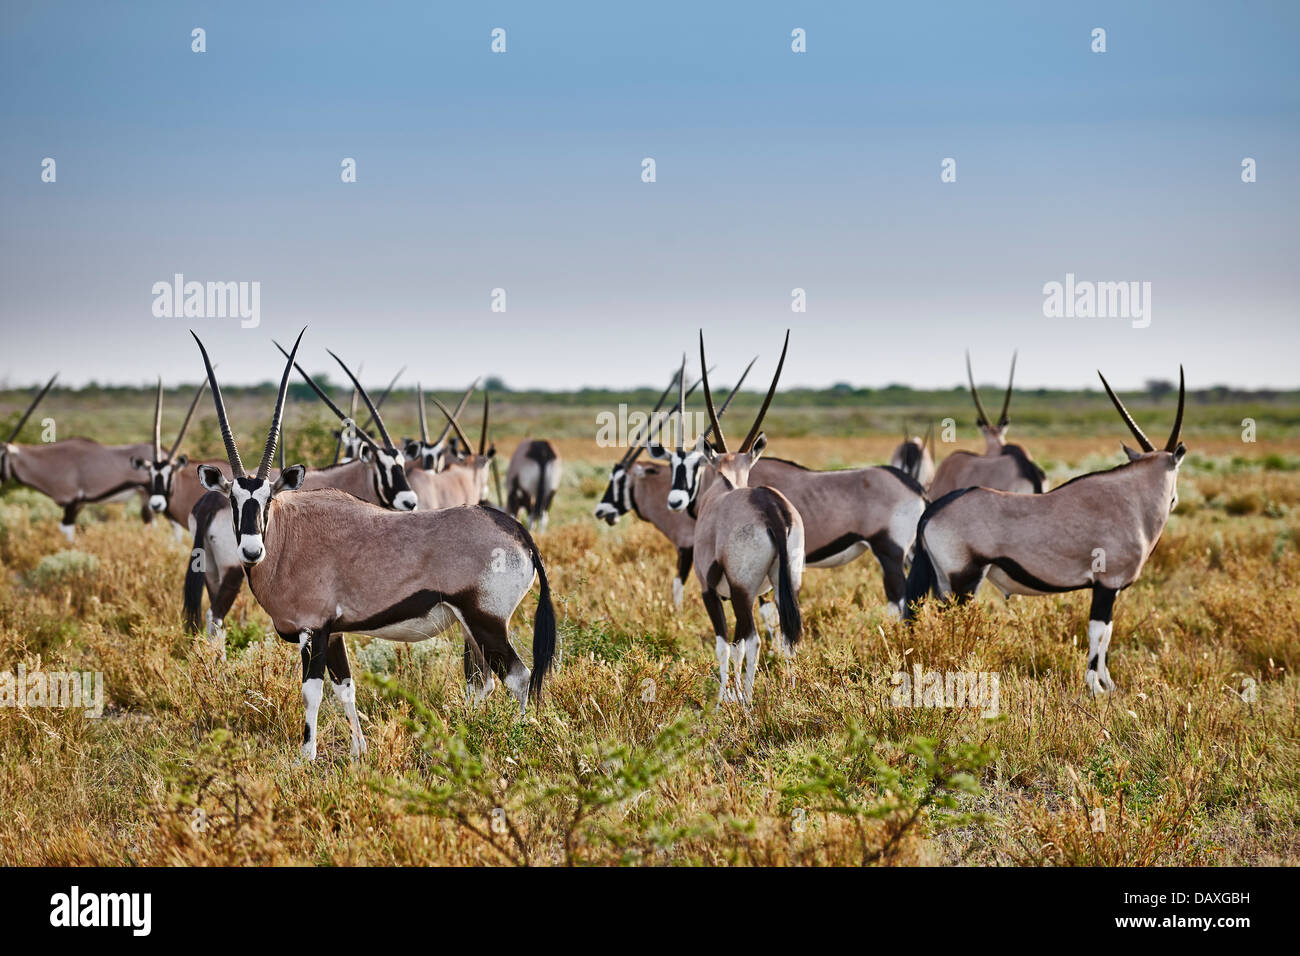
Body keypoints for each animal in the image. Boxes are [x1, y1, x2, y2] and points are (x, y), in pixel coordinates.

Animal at [1, 374, 157, 546]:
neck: (49, 462)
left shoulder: (72, 503)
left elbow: (67, 531)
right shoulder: (77, 505)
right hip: (144, 495)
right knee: (149, 521)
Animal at [191, 332, 553, 759]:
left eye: (267, 499)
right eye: (233, 500)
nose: (250, 551)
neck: (286, 537)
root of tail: (518, 532)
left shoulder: (314, 630)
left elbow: (312, 692)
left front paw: (305, 758)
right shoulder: (334, 633)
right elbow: (345, 688)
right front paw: (357, 753)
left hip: (487, 622)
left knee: (519, 676)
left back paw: (517, 737)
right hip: (473, 627)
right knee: (488, 681)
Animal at [676, 335, 806, 702]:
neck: (725, 487)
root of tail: (770, 507)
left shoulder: (710, 590)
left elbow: (725, 645)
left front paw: (725, 699)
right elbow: (739, 645)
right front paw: (734, 695)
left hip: (741, 590)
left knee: (752, 640)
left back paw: (746, 702)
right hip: (784, 583)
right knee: (782, 640)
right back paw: (786, 693)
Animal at [904, 366, 1190, 697]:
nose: (1174, 500)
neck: (1132, 497)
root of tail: (932, 509)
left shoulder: (1112, 589)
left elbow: (1107, 633)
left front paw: (1109, 685)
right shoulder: (1106, 585)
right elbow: (1098, 632)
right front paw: (1095, 688)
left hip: (944, 581)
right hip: (963, 580)